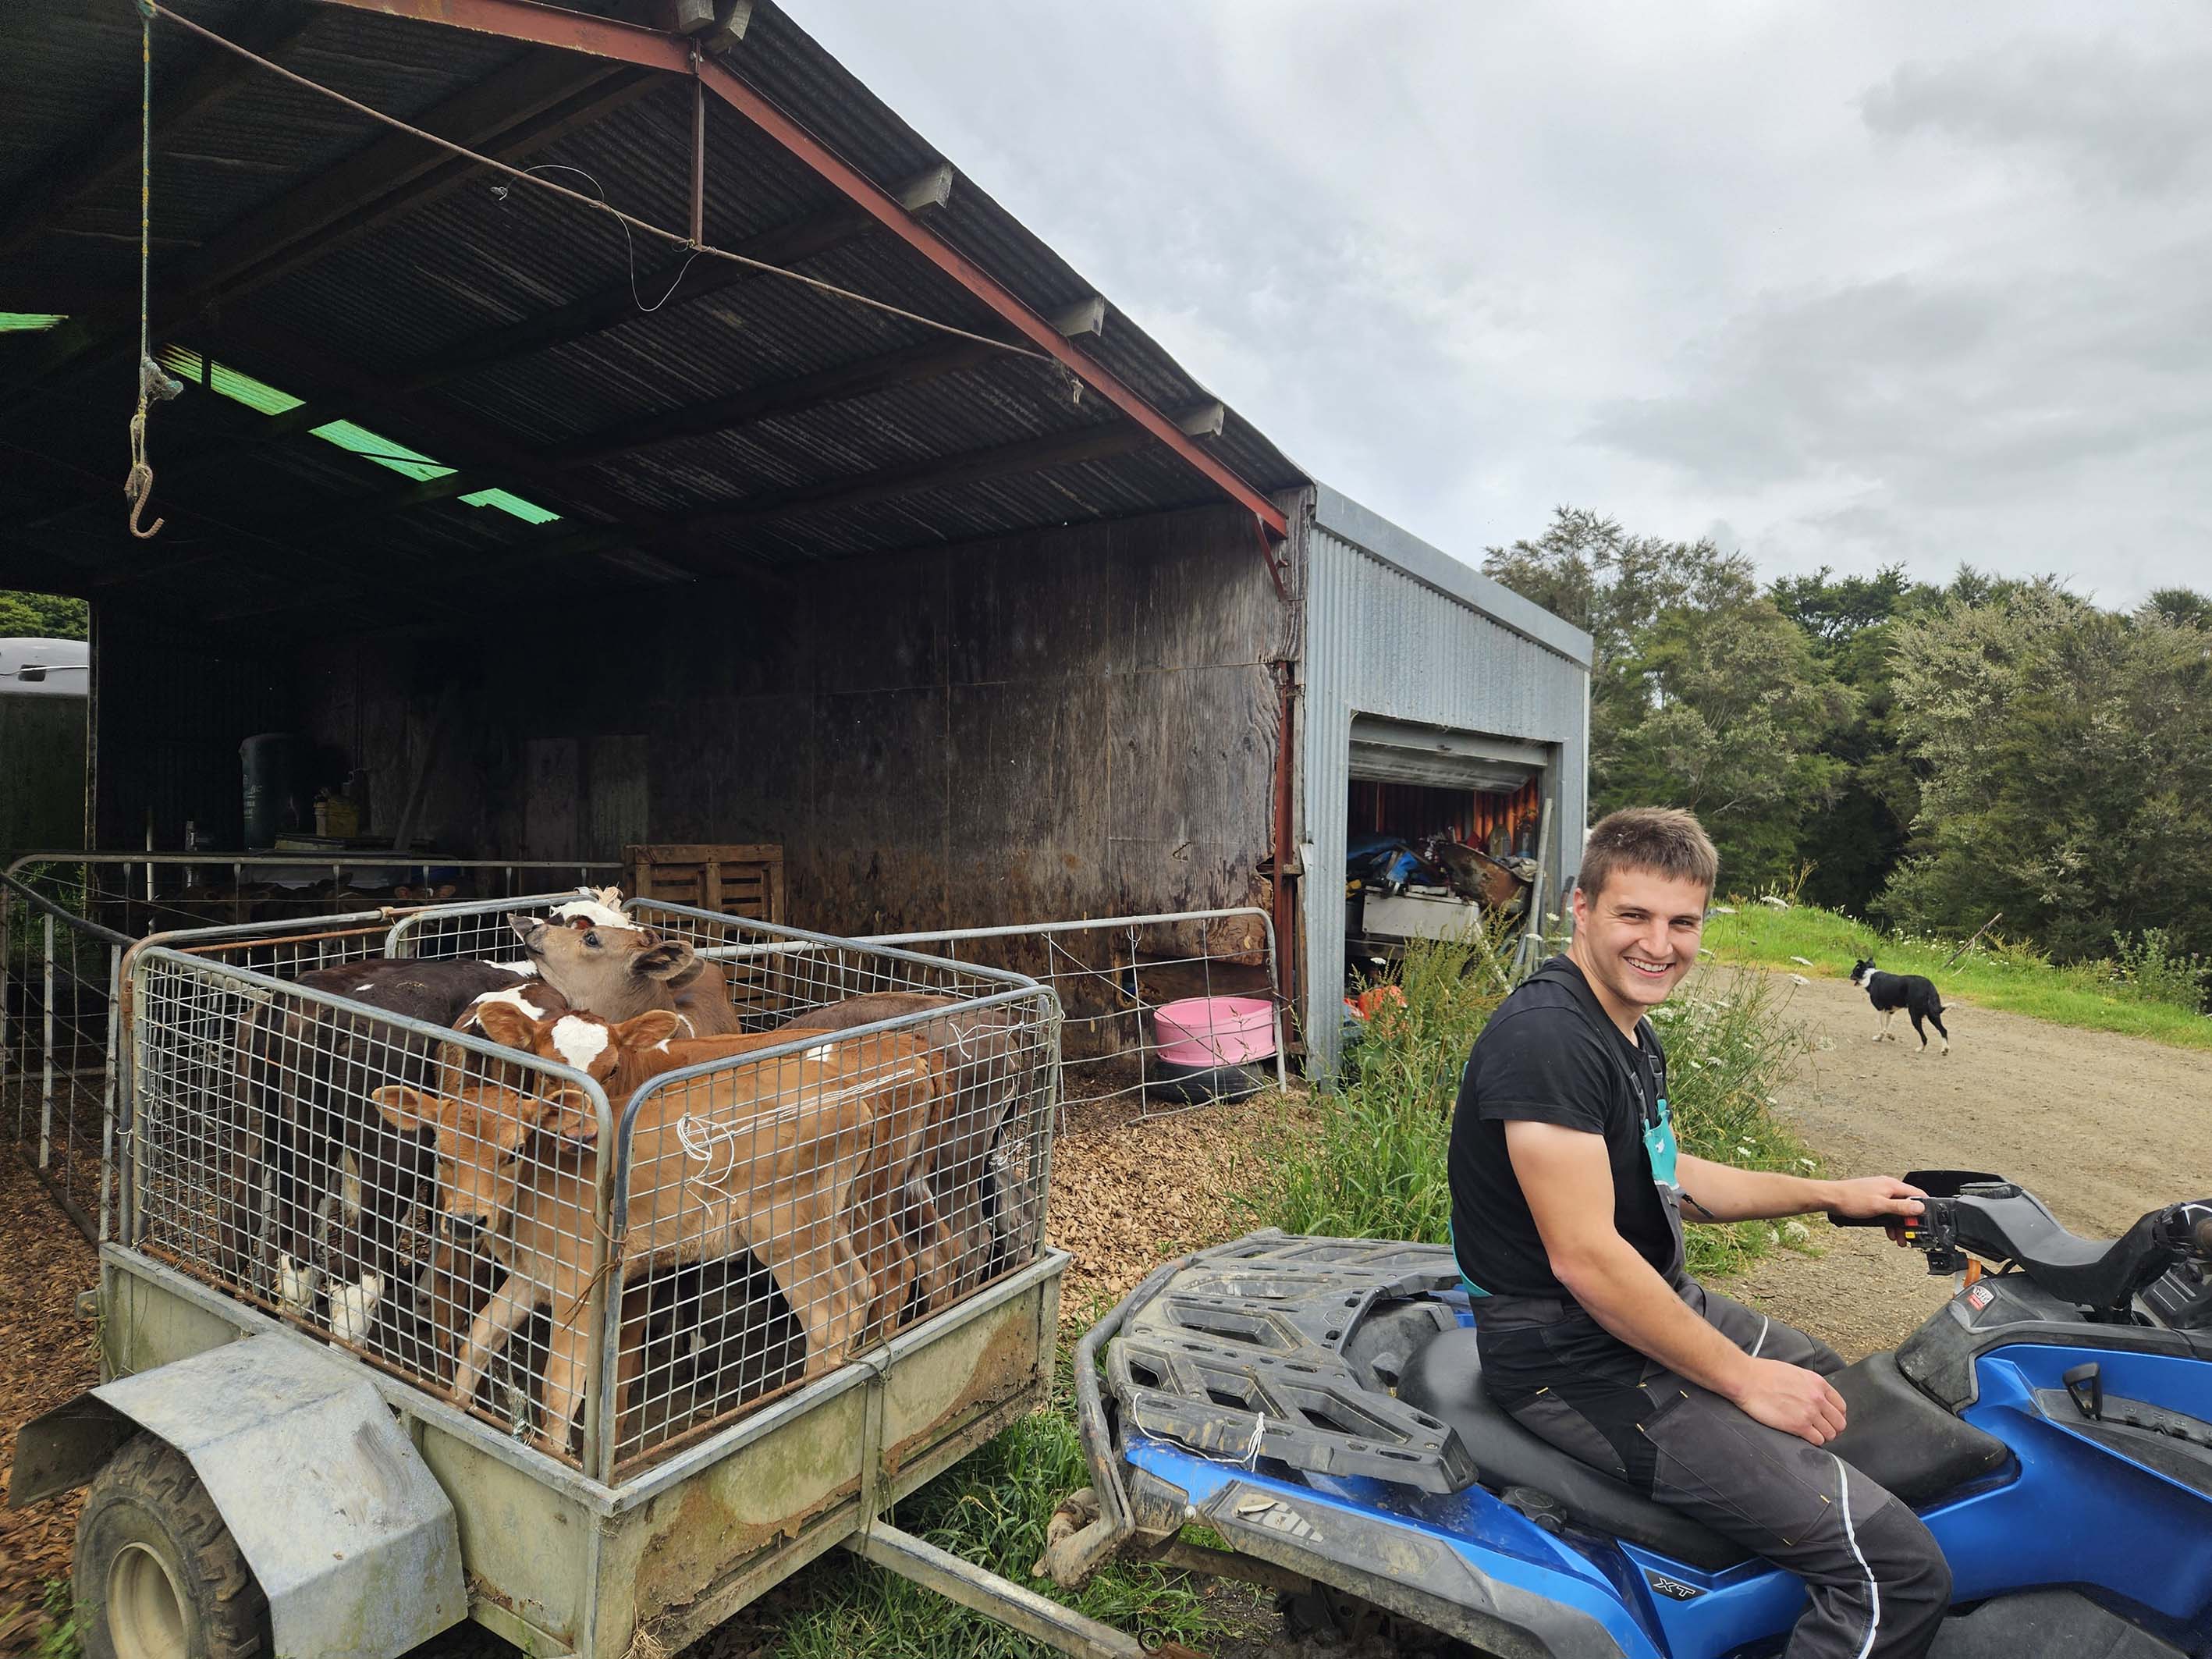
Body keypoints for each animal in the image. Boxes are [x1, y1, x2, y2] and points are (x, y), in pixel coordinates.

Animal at [1849, 959, 1950, 1054]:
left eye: (1854, 971)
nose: (1849, 975)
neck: (1869, 975)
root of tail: (1929, 986)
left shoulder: (1880, 1009)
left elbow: (1882, 1028)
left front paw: (1882, 1037)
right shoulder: (1890, 1011)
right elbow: (1886, 1027)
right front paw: (1887, 1036)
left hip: (1915, 1016)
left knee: (1925, 1037)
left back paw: (1920, 1049)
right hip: (1933, 1015)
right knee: (1944, 1031)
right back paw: (1945, 1049)